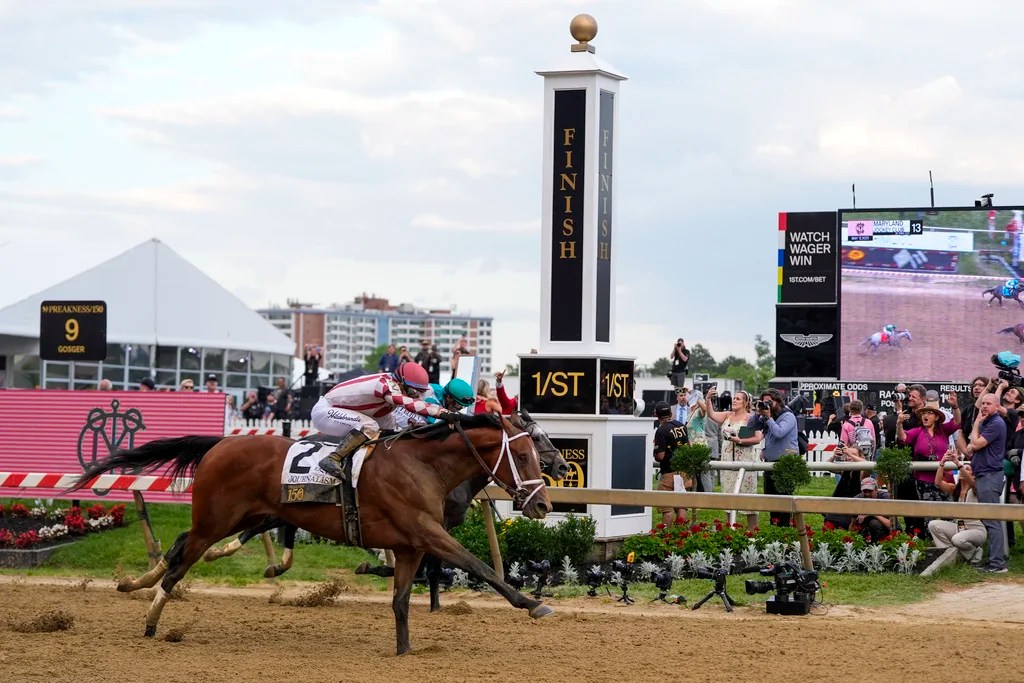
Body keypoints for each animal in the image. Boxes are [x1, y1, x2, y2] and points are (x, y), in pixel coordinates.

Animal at [203, 410, 569, 612]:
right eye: (532, 444)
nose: (564, 468)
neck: (435, 465)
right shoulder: (425, 528)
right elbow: (435, 567)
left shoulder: (432, 528)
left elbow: (431, 568)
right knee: (267, 524)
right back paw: (233, 552)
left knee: (274, 523)